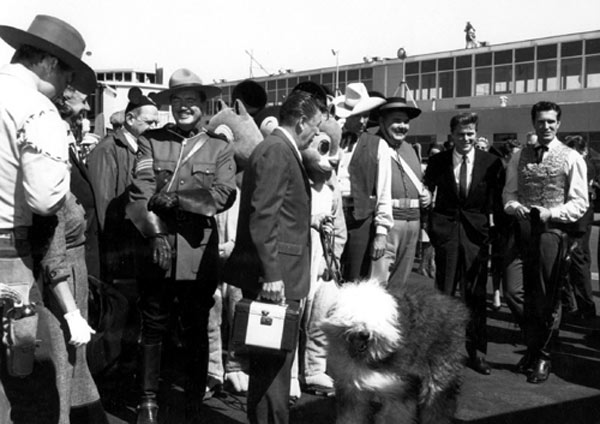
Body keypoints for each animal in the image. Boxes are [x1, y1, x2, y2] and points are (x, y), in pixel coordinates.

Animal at [324, 280, 468, 422]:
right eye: (351, 317)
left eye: (377, 321)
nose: (364, 334)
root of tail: (456, 307)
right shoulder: (351, 388)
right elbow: (352, 414)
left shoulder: (398, 387)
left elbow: (394, 415)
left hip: (440, 373)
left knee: (438, 406)